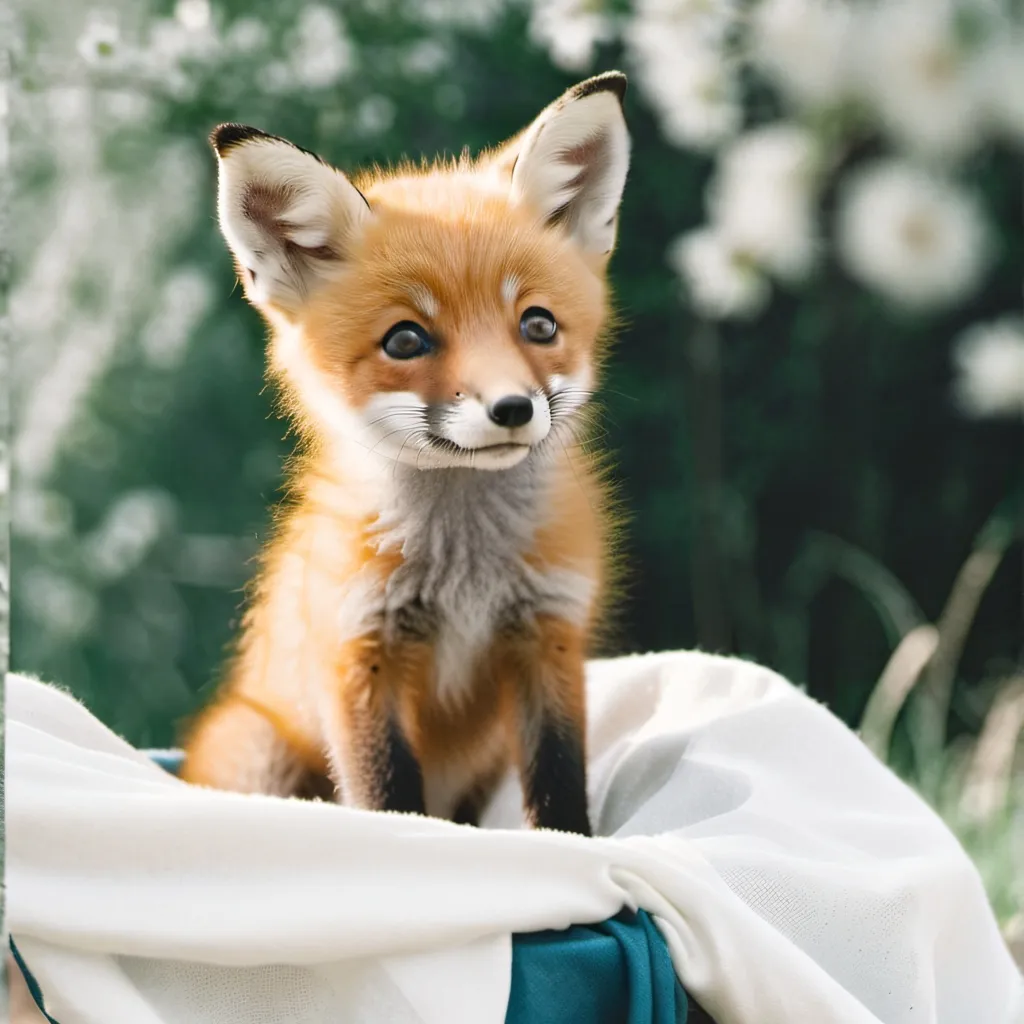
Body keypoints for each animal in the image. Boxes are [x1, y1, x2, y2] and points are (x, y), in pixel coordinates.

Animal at [178, 72, 632, 836]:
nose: (513, 409)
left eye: (538, 325)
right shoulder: (358, 653)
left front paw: (572, 846)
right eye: (405, 340)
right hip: (261, 754)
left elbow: (559, 781)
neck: (465, 574)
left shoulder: (547, 635)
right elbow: (386, 794)